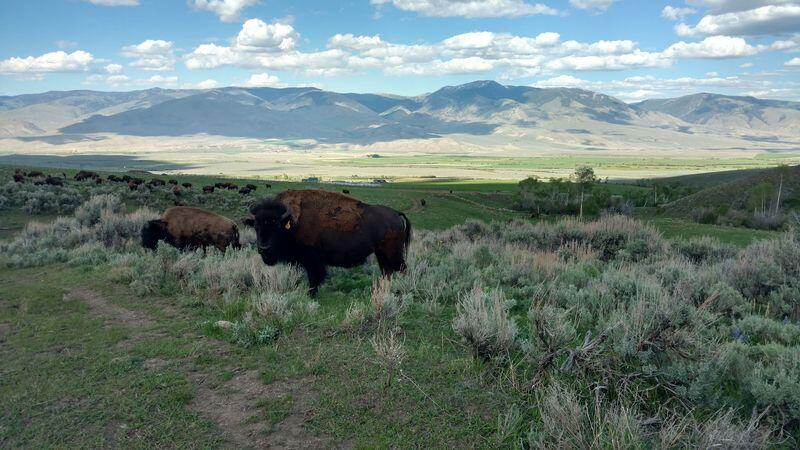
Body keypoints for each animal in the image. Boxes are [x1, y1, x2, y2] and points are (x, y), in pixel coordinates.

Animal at [244, 189, 411, 295]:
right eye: (256, 226)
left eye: (277, 226)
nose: (264, 248)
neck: (291, 222)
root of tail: (396, 214)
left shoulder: (313, 261)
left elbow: (314, 279)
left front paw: (311, 296)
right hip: (381, 253)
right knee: (387, 272)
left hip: (393, 253)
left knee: (401, 269)